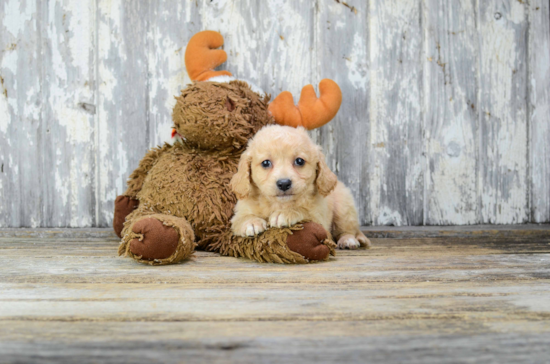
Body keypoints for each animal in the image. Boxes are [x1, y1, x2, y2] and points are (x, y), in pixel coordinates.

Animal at [231, 125, 374, 250]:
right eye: (266, 163)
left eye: (299, 161)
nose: (284, 183)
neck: (279, 204)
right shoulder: (240, 212)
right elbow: (241, 219)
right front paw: (251, 222)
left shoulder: (320, 219)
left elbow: (304, 211)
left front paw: (286, 213)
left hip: (344, 207)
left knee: (347, 230)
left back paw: (348, 240)